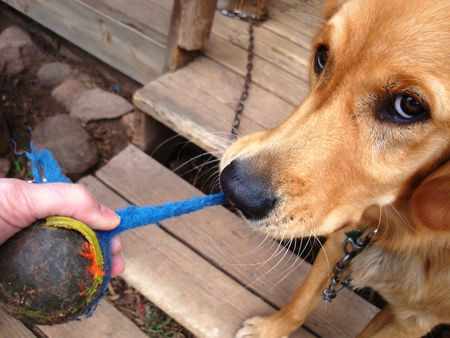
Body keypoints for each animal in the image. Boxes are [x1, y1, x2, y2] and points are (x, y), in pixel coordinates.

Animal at [220, 0, 450, 336]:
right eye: (322, 56)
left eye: (409, 106)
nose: (235, 190)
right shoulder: (340, 238)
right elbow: (300, 304)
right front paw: (270, 328)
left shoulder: (411, 319)